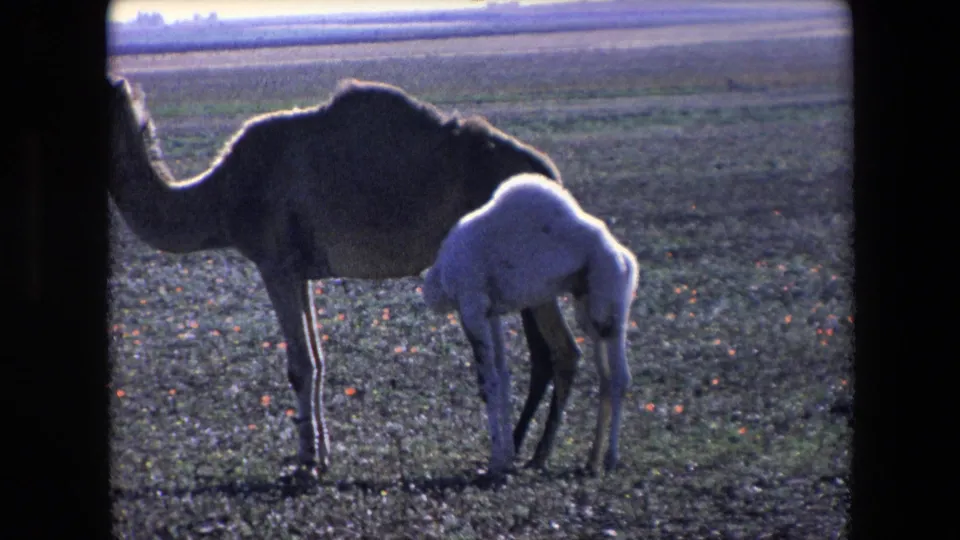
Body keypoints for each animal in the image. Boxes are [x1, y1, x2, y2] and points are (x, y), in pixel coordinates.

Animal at [106, 75, 584, 474]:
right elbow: (316, 361)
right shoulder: (297, 270)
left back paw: (539, 456)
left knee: (562, 350)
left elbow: (299, 364)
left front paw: (305, 463)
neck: (220, 195)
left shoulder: (274, 263)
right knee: (547, 352)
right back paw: (525, 449)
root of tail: (551, 171)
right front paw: (321, 455)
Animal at [423, 173, 639, 475]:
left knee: (619, 375)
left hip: (608, 302)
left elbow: (488, 381)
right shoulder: (491, 312)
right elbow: (503, 377)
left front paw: (496, 462)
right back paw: (591, 460)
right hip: (588, 305)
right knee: (605, 375)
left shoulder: (472, 306)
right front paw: (506, 457)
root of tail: (626, 259)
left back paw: (610, 459)